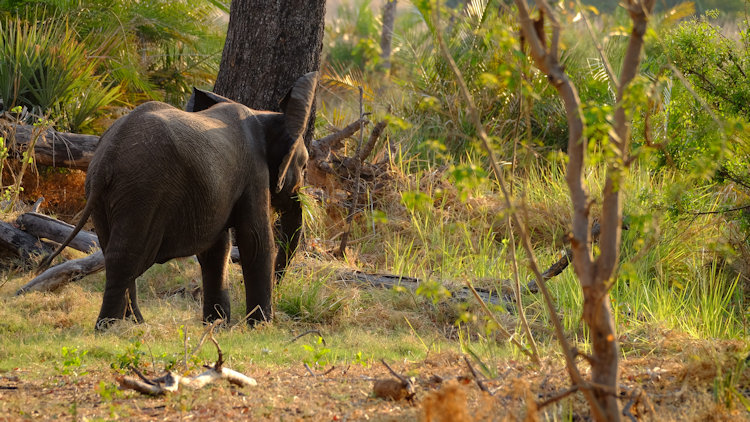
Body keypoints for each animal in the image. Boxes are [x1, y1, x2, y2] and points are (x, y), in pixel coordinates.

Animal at [41, 71, 318, 330]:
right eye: (304, 167)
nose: (279, 284)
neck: (265, 116)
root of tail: (106, 157)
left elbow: (216, 250)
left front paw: (217, 326)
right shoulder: (253, 173)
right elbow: (256, 241)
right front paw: (259, 327)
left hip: (104, 196)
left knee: (114, 251)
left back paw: (133, 324)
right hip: (143, 191)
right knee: (127, 256)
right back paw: (110, 327)